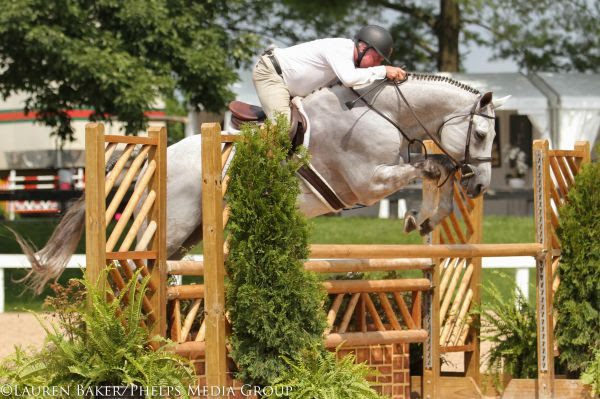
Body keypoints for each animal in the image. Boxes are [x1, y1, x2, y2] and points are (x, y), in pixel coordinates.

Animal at [12, 74, 506, 294]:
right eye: (482, 135)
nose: (480, 188)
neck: (382, 111)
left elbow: (437, 166)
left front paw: (426, 220)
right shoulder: (365, 183)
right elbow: (431, 167)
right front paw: (419, 217)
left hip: (188, 236)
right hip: (168, 229)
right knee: (137, 266)